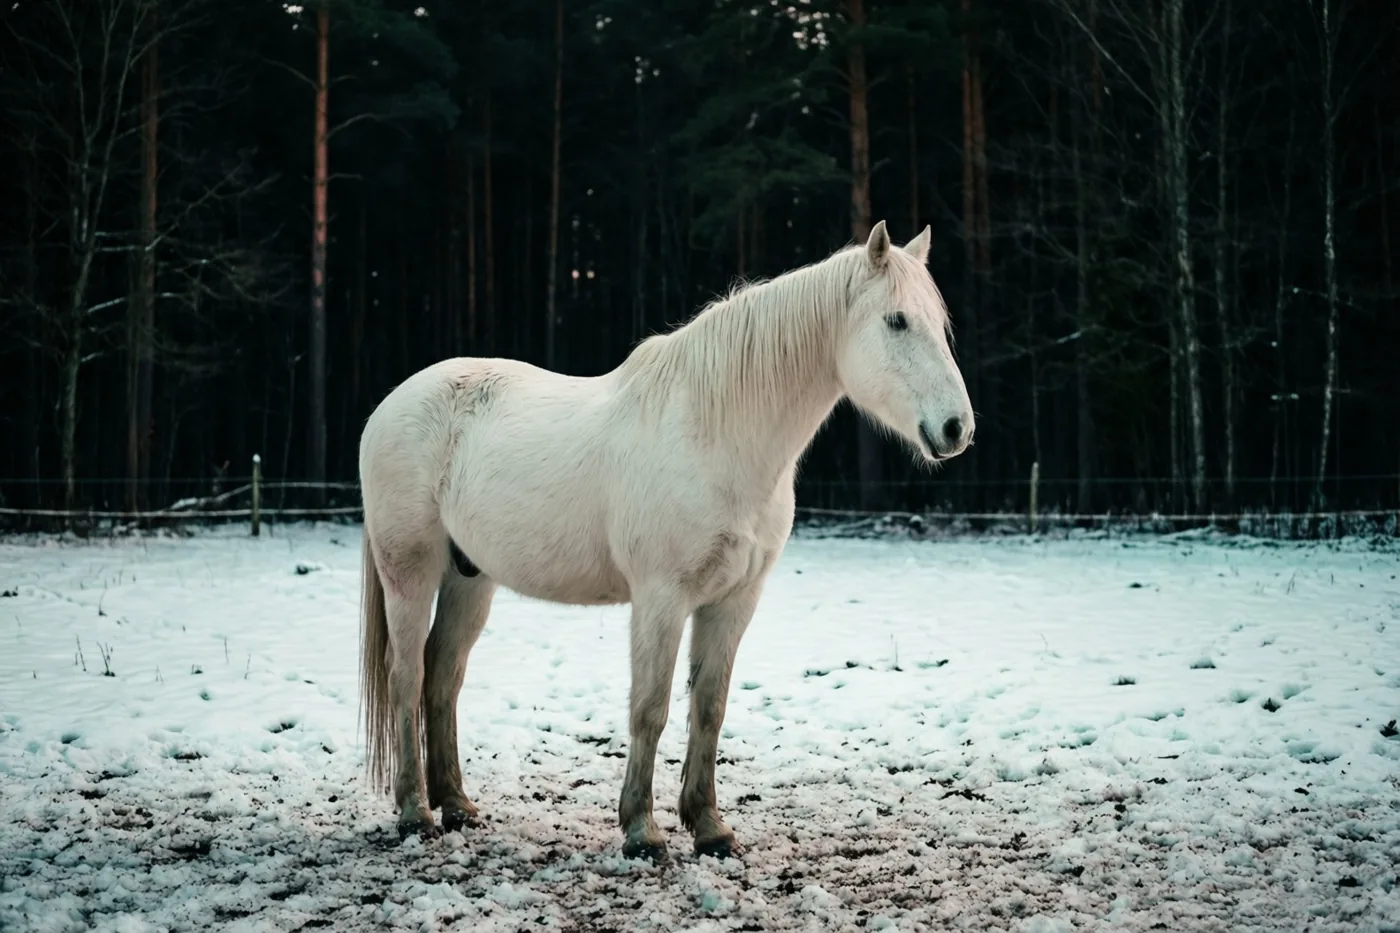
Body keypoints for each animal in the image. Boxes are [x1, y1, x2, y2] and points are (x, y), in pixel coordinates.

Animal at [356, 220, 975, 863]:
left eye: (939, 322)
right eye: (896, 321)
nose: (957, 428)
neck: (715, 434)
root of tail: (393, 404)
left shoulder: (733, 601)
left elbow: (710, 709)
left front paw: (709, 827)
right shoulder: (661, 599)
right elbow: (649, 709)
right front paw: (641, 832)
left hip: (469, 579)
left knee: (442, 675)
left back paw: (457, 805)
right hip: (410, 573)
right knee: (406, 675)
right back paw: (415, 814)